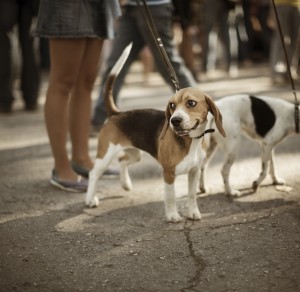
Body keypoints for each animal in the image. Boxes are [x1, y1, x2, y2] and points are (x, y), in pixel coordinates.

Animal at [84, 45, 225, 221]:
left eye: (191, 103)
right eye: (172, 105)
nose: (174, 121)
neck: (190, 141)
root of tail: (117, 113)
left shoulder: (194, 172)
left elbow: (192, 195)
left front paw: (193, 212)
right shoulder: (168, 174)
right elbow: (170, 197)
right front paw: (172, 216)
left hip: (135, 154)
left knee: (122, 160)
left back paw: (126, 184)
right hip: (105, 155)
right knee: (93, 173)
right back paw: (90, 199)